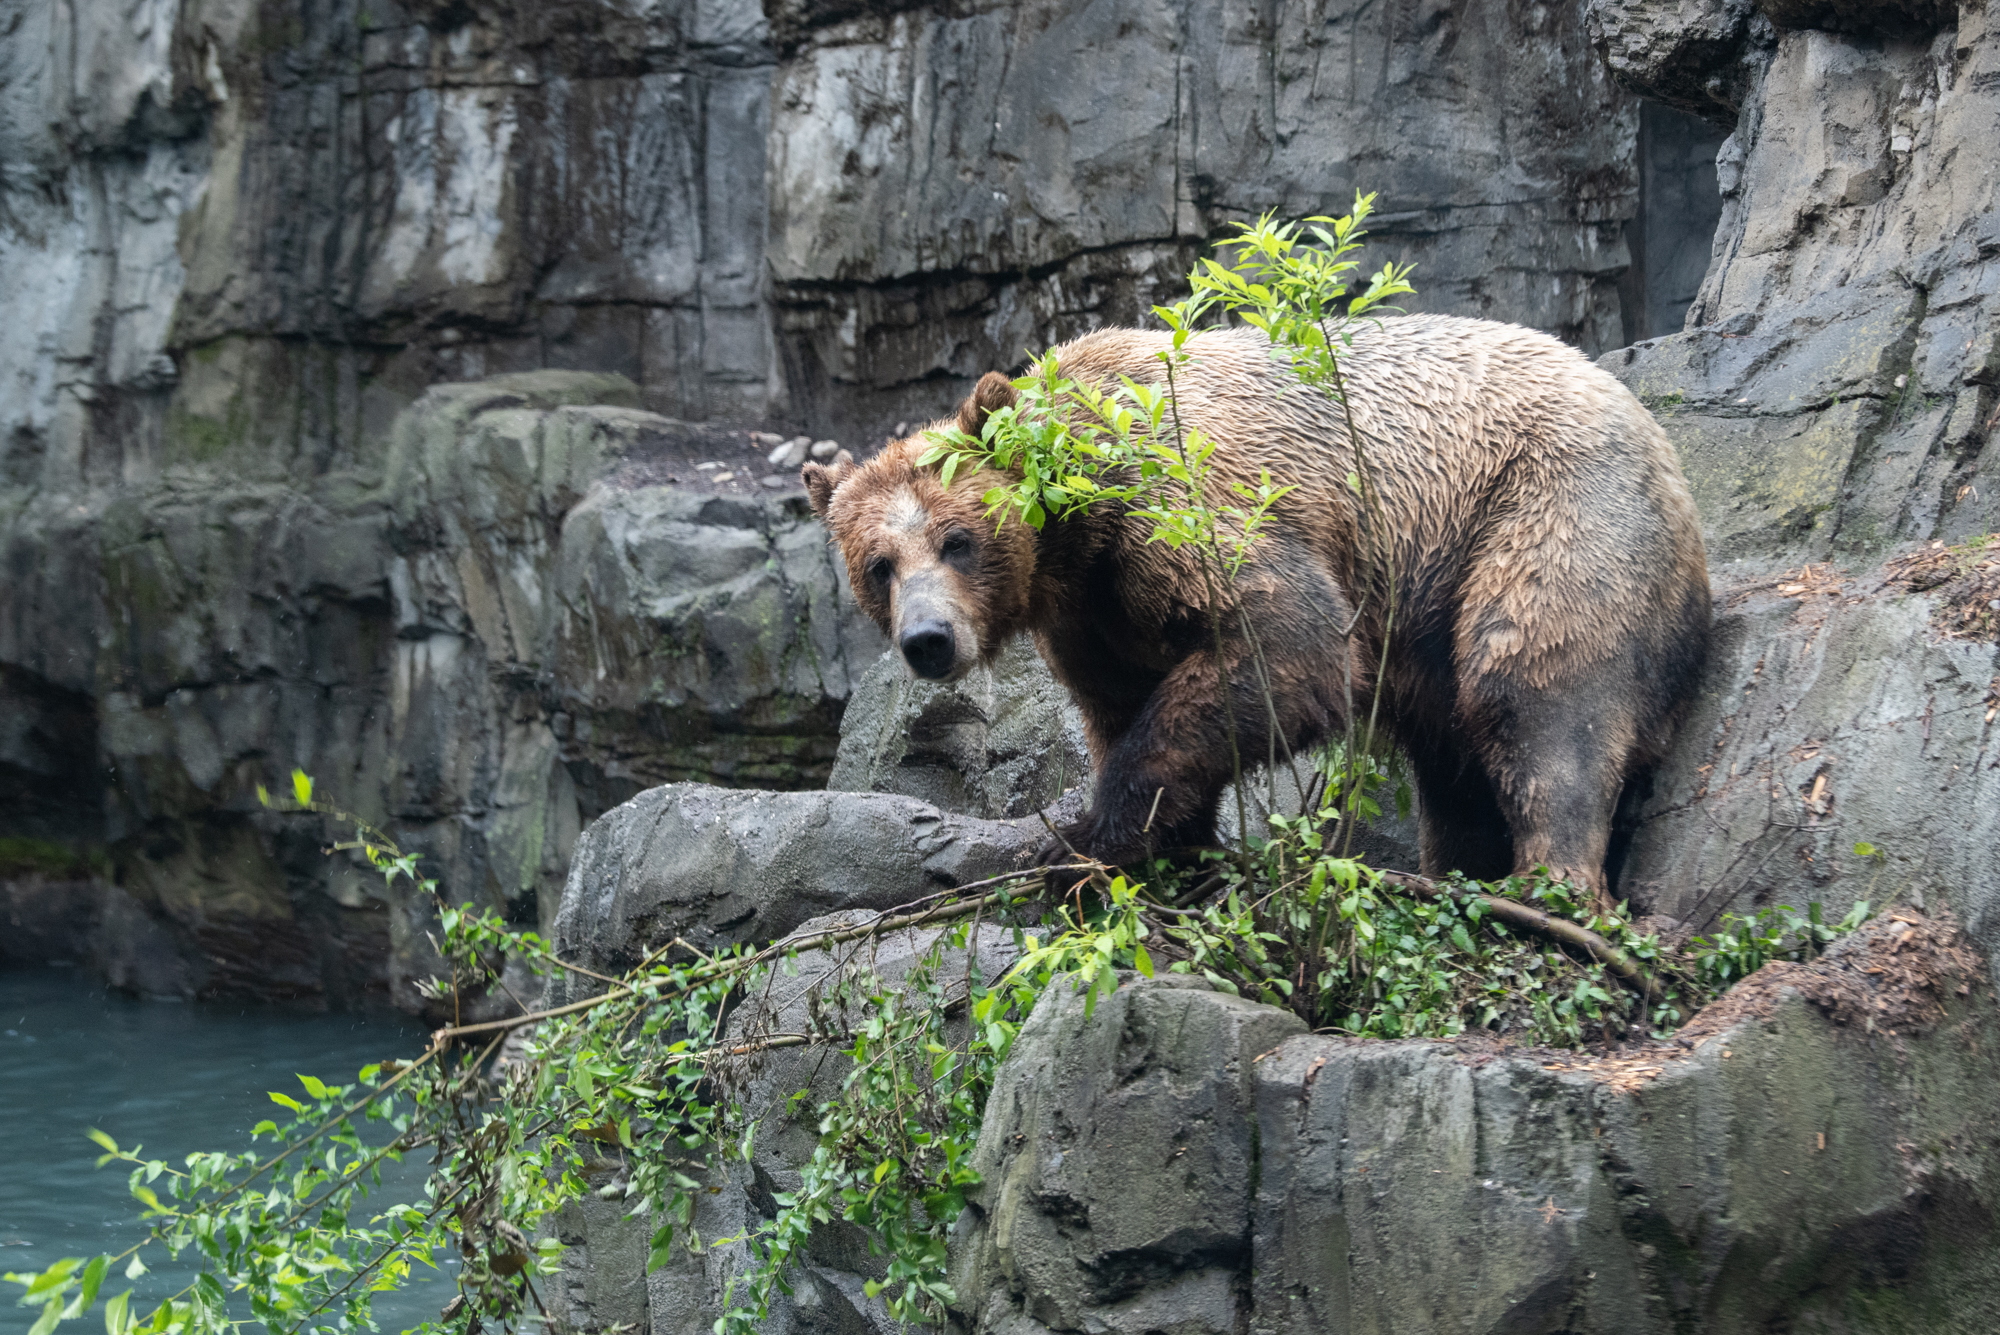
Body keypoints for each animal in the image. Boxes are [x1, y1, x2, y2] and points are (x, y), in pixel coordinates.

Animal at [804, 315, 1712, 895]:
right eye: (878, 565)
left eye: (956, 539)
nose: (928, 638)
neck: (1076, 521)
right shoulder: (1093, 613)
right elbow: (1124, 702)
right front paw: (1170, 847)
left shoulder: (1183, 508)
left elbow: (1288, 647)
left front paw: (1083, 846)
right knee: (1453, 763)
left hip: (1546, 511)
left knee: (1539, 692)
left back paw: (1546, 885)